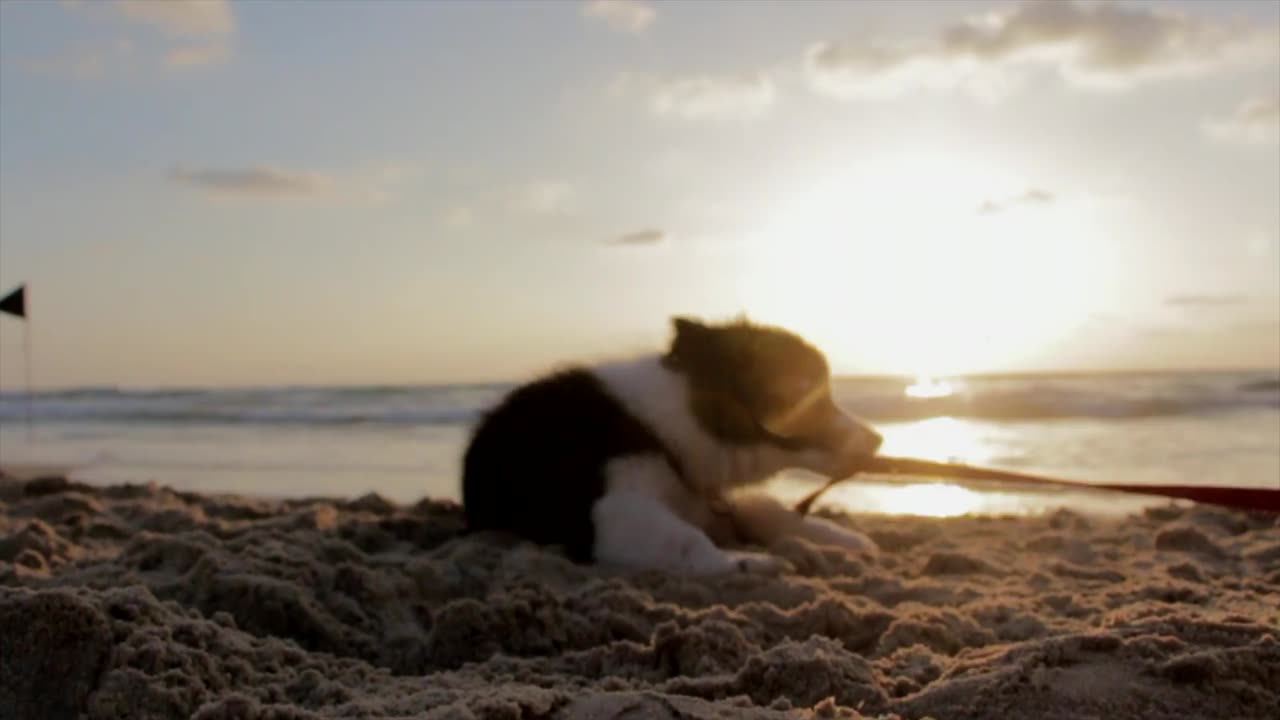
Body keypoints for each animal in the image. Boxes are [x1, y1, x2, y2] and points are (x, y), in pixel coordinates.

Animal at [460, 313, 880, 571]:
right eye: (813, 399)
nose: (877, 440)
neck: (673, 425)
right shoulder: (611, 510)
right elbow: (690, 540)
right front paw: (745, 562)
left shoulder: (706, 500)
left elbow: (770, 511)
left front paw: (840, 538)